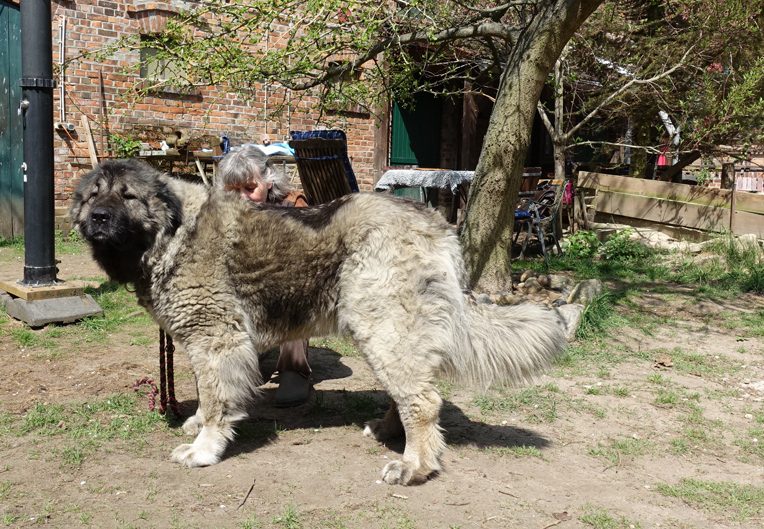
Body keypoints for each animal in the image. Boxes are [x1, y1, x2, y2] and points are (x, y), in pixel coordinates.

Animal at [70, 158, 567, 485]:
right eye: (93, 196)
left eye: (128, 197)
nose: (98, 217)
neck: (171, 233)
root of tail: (436, 223)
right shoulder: (202, 341)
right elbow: (207, 392)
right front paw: (195, 423)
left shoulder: (216, 339)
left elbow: (216, 400)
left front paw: (205, 448)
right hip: (380, 332)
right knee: (409, 392)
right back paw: (387, 431)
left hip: (382, 327)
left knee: (423, 400)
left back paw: (414, 466)